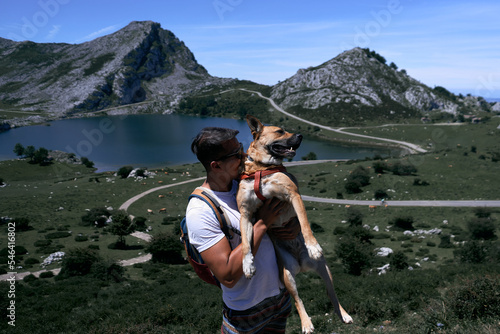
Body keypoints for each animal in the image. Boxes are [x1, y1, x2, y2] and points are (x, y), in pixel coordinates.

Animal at [237, 114, 352, 332]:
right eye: (280, 131)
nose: (300, 135)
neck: (261, 169)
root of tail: (301, 265)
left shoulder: (293, 196)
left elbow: (305, 225)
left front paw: (313, 246)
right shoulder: (245, 213)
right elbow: (246, 244)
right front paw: (247, 265)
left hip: (324, 269)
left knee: (331, 293)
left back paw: (343, 314)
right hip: (287, 273)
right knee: (298, 300)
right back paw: (306, 323)